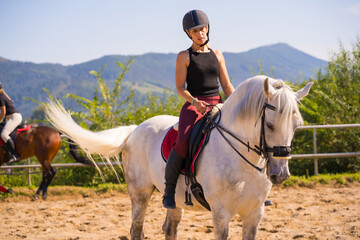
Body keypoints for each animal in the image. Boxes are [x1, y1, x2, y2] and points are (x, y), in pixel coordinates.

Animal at [47, 75, 312, 240]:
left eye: (297, 125)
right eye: (269, 125)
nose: (280, 174)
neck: (243, 162)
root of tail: (135, 129)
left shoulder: (254, 214)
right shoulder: (221, 213)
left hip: (173, 200)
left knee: (169, 229)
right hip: (140, 194)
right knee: (136, 229)